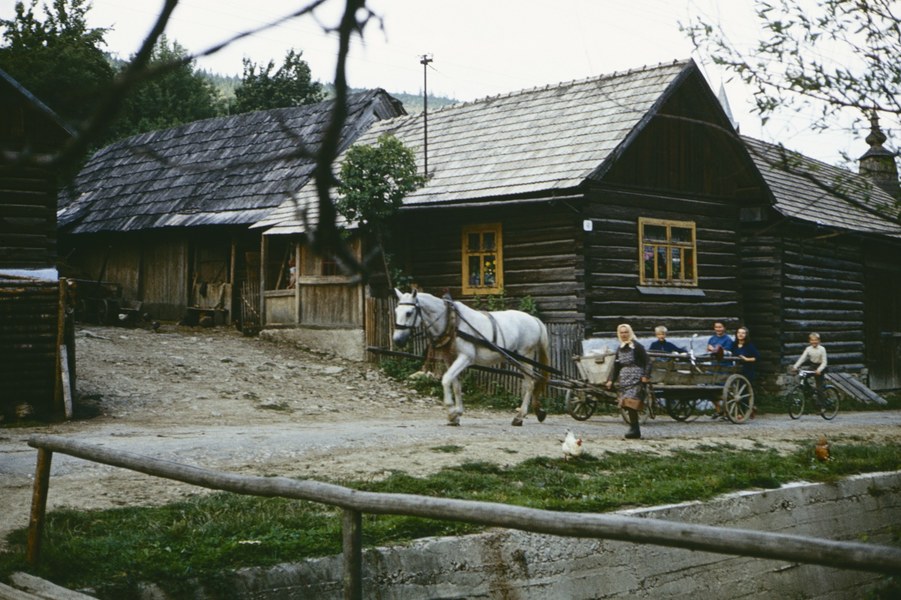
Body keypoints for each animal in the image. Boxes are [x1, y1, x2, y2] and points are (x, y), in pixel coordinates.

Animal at [392, 290, 552, 426]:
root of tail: (533, 319)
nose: (397, 340)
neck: (452, 321)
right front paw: (457, 415)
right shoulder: (450, 359)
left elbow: (446, 379)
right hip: (517, 360)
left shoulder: (466, 357)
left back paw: (520, 417)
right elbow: (456, 385)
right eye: (396, 311)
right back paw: (536, 412)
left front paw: (451, 411)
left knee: (530, 383)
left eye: (408, 313)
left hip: (525, 356)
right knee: (528, 383)